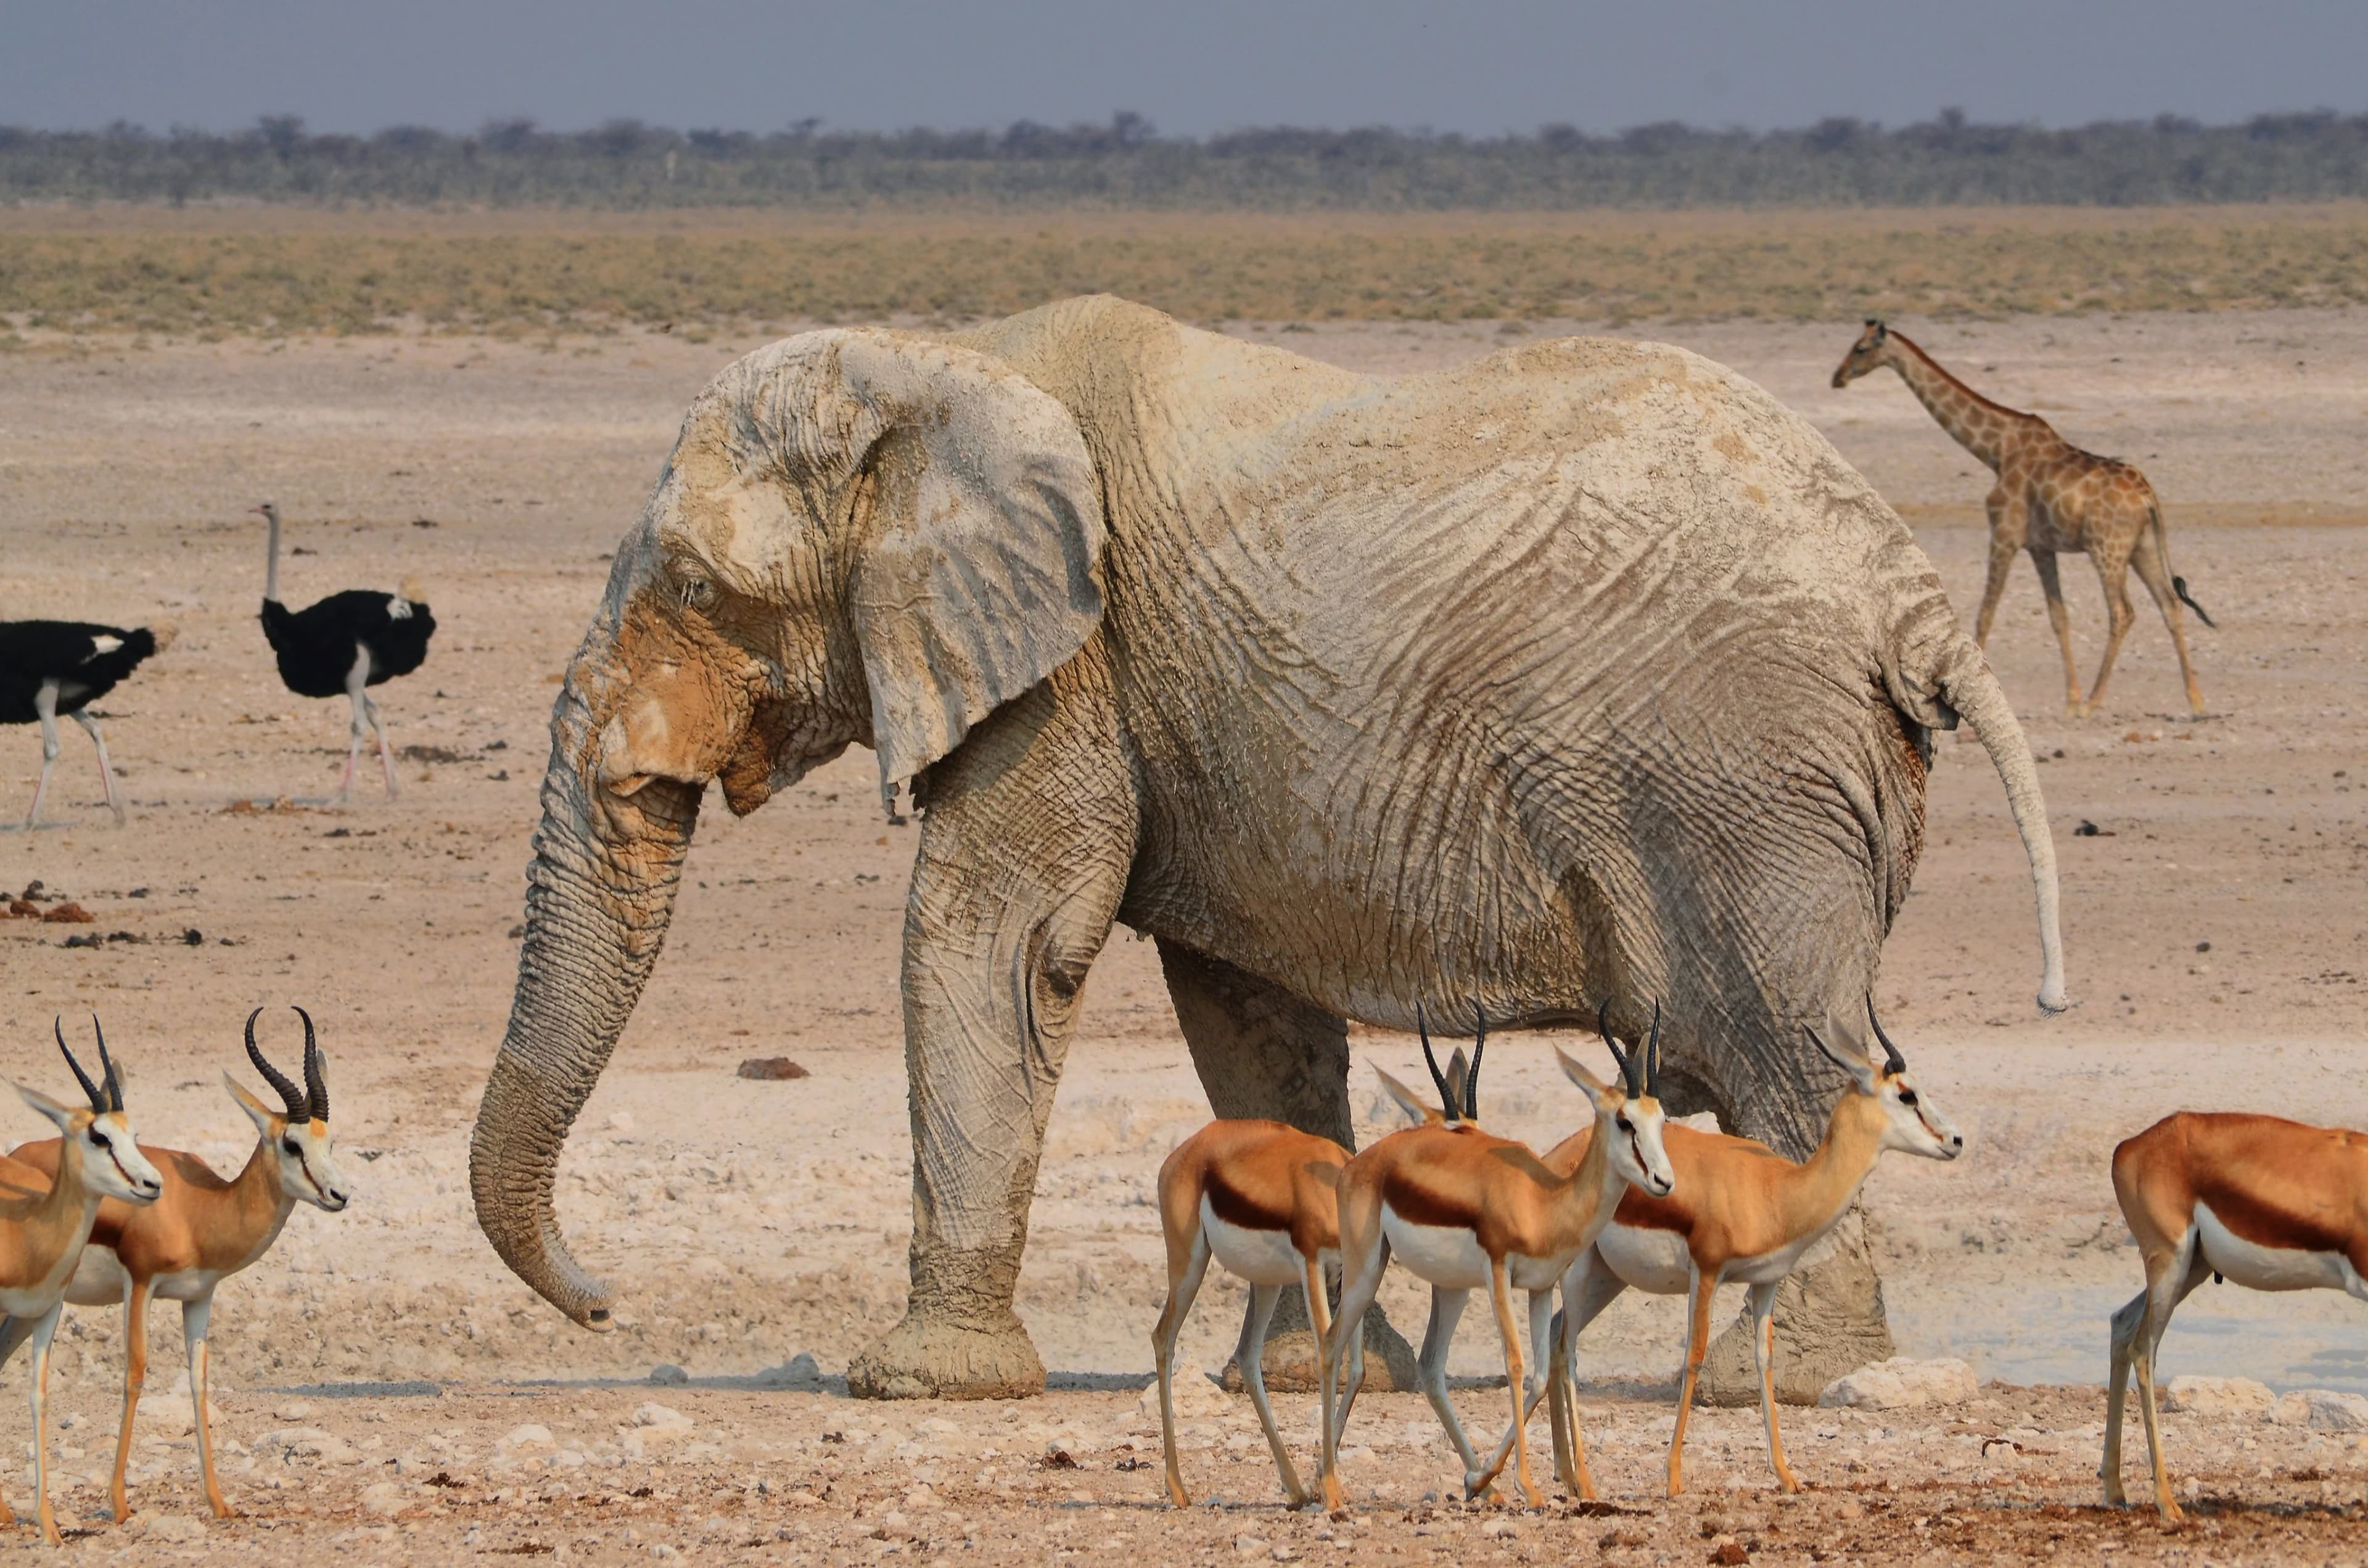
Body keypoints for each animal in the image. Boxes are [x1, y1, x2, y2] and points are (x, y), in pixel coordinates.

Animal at [470, 294, 2065, 1402]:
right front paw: (1311, 1372)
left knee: (1784, 1055)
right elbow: (1244, 1013)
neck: (940, 362)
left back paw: (1777, 1379)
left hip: (1743, 782)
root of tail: (1912, 598)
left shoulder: (1074, 668)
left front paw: (918, 1382)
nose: (606, 1303)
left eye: (696, 587)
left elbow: (995, 943)